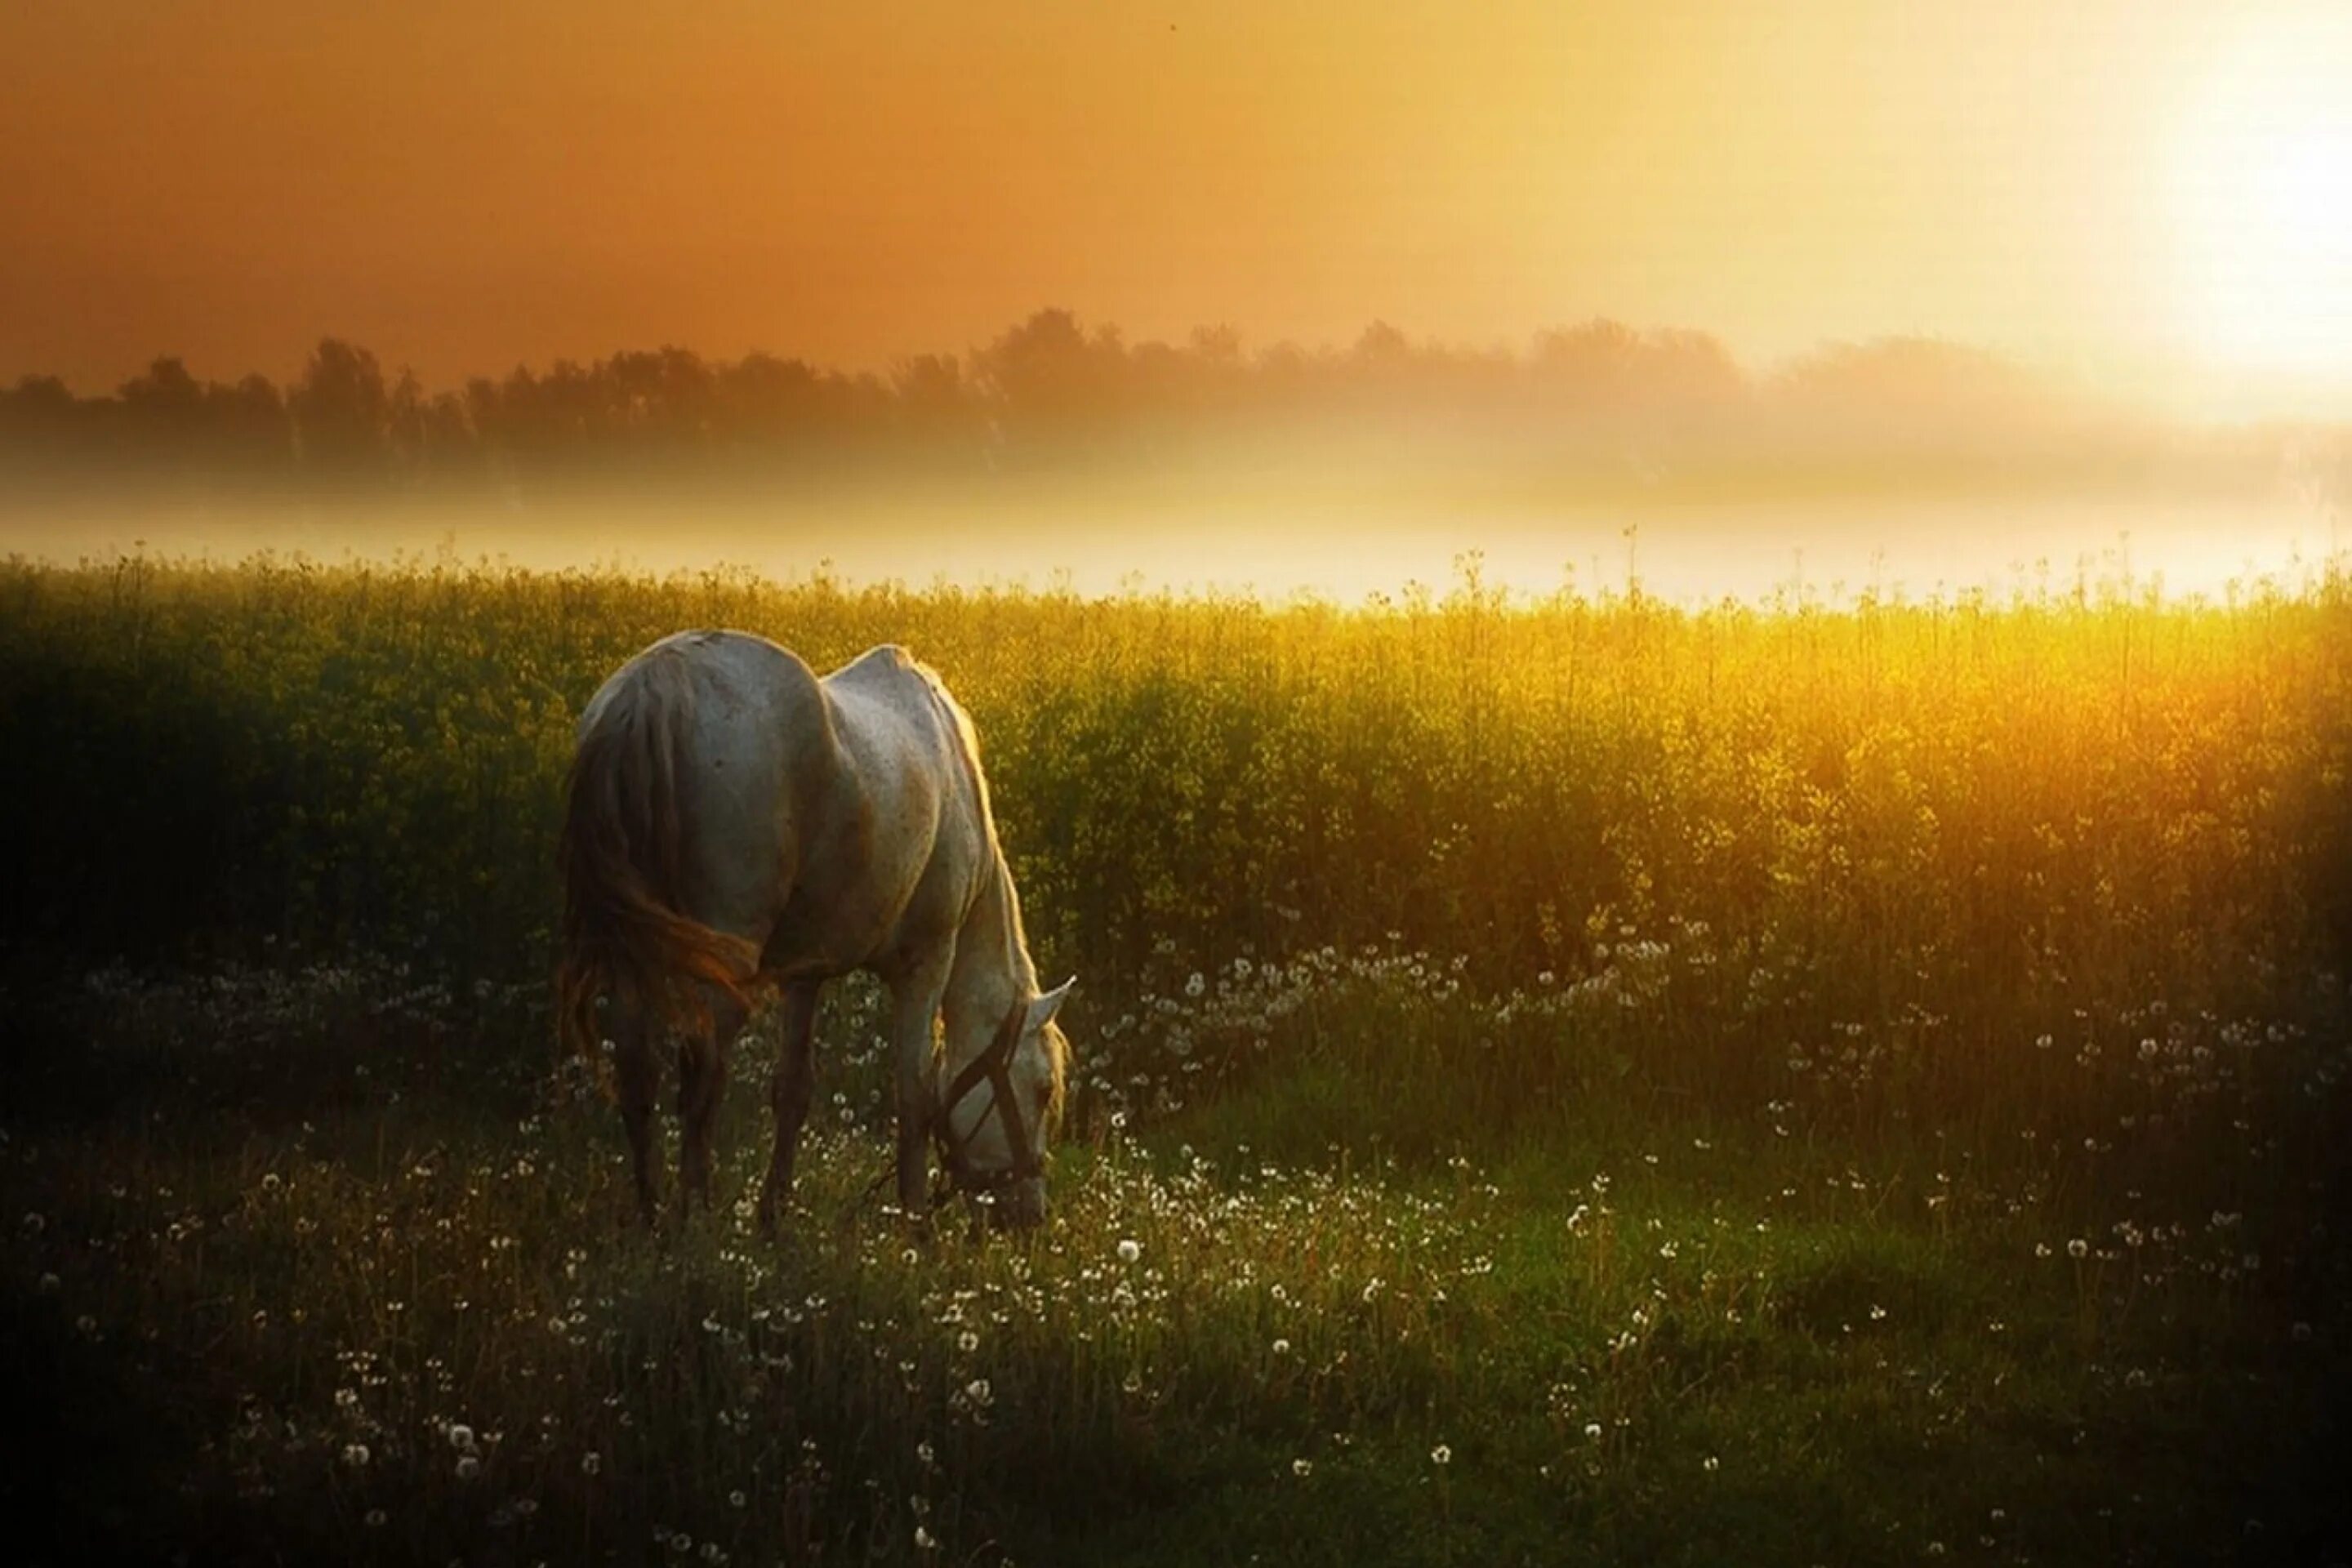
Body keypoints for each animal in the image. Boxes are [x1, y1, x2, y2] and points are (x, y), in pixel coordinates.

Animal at [555, 630, 1072, 1232]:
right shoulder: (927, 963)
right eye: (1043, 1089)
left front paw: (773, 1215)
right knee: (700, 1080)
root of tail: (654, 684)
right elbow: (915, 1095)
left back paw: (653, 1216)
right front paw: (914, 1227)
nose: (1029, 1215)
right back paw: (695, 1218)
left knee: (639, 1073)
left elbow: (793, 1091)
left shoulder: (805, 974)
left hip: (636, 959)